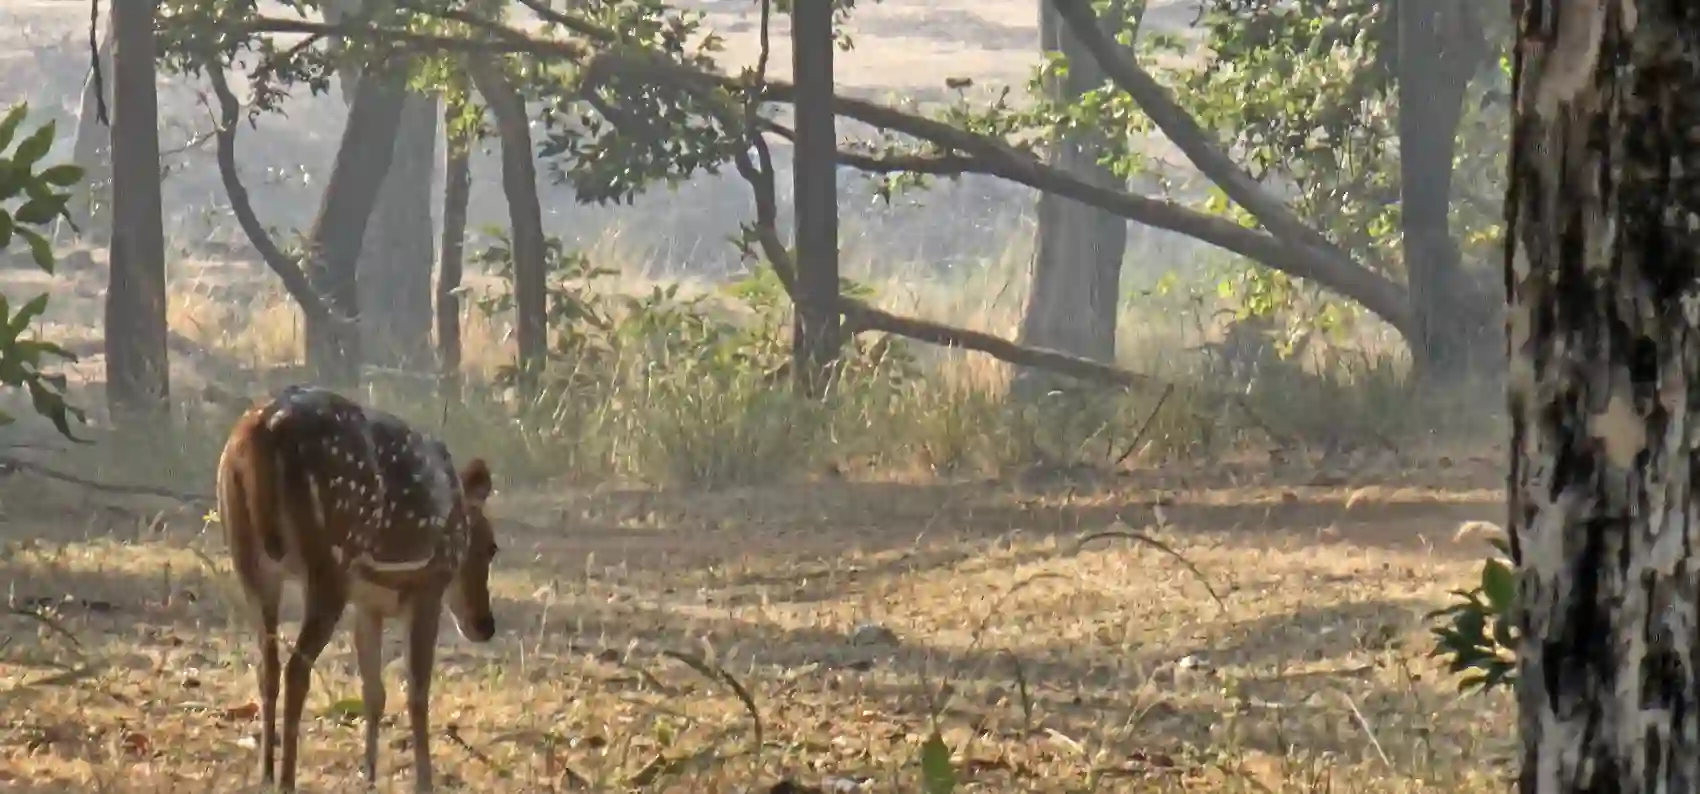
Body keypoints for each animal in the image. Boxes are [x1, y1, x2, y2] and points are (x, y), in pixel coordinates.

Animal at [215, 384, 501, 792]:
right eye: (492, 547)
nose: (484, 624)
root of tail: (263, 431)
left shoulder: (367, 603)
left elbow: (374, 691)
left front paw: (369, 775)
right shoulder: (428, 586)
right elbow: (417, 691)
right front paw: (423, 781)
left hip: (248, 559)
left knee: (267, 664)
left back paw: (266, 773)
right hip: (328, 566)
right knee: (296, 668)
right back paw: (286, 778)